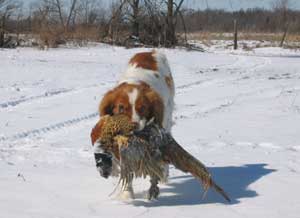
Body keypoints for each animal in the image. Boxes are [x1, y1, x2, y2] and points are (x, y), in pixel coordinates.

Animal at [92, 50, 175, 199]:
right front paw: (127, 193)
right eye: (121, 108)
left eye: (143, 108)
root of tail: (151, 51)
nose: (134, 126)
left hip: (167, 119)